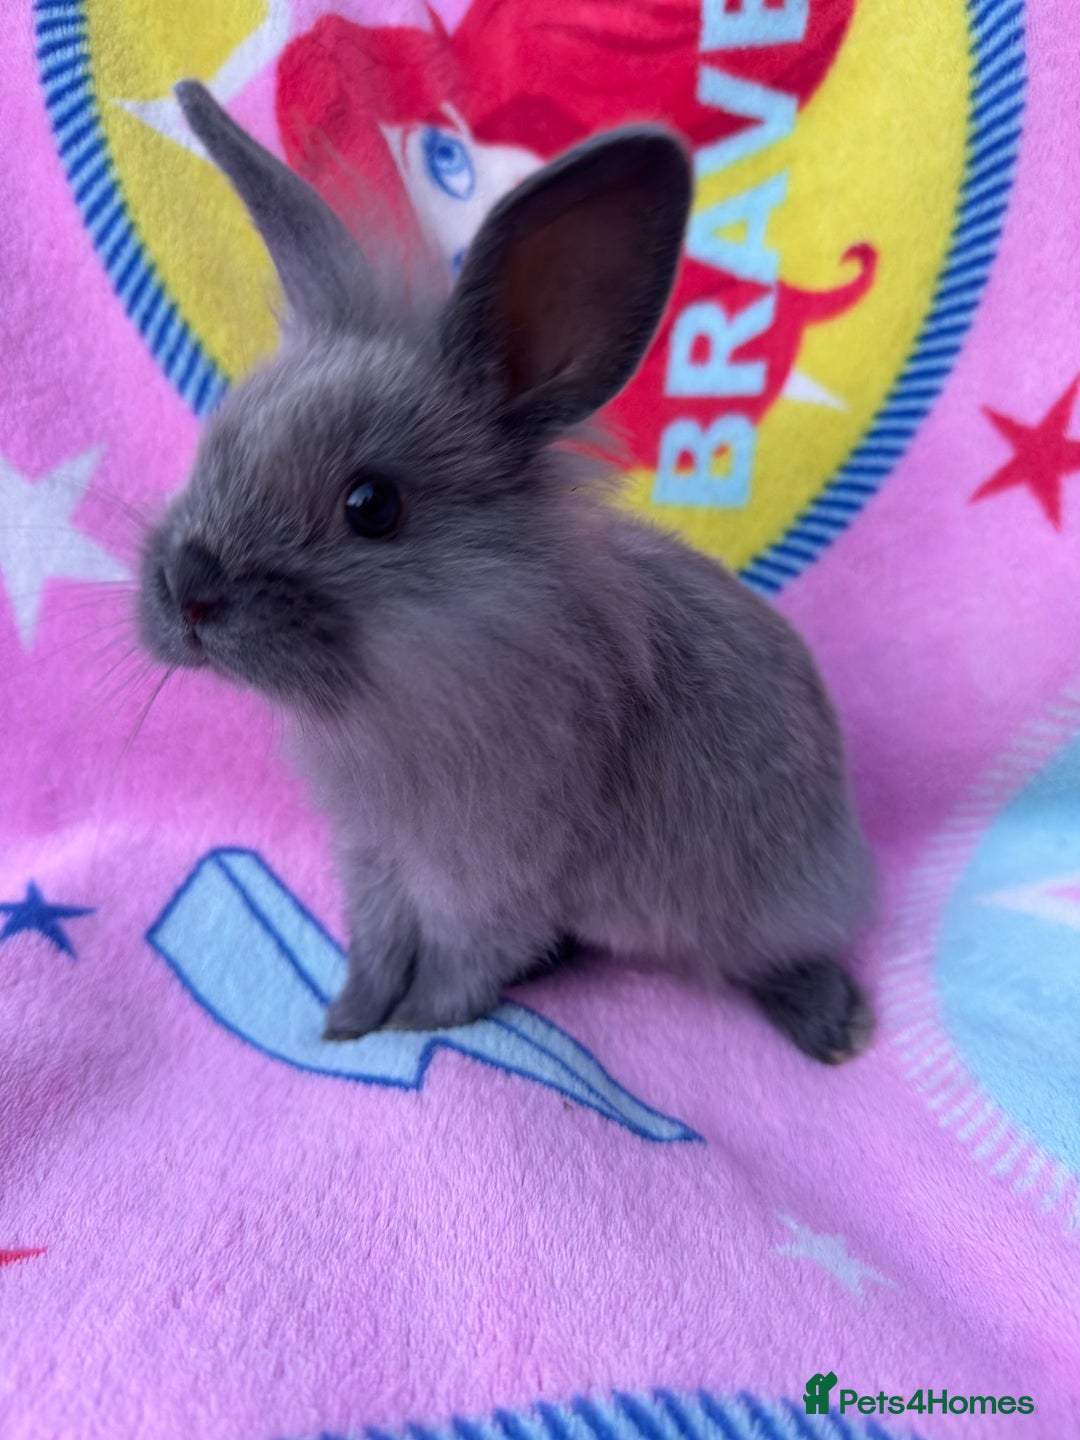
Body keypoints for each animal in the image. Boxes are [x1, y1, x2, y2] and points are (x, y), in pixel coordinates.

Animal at [139, 80, 875, 1064]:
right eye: (214, 445)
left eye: (371, 505)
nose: (188, 593)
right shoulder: (375, 863)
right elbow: (375, 949)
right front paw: (345, 1023)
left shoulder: (490, 879)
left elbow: (457, 970)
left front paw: (408, 1028)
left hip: (761, 903)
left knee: (782, 952)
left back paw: (833, 1026)